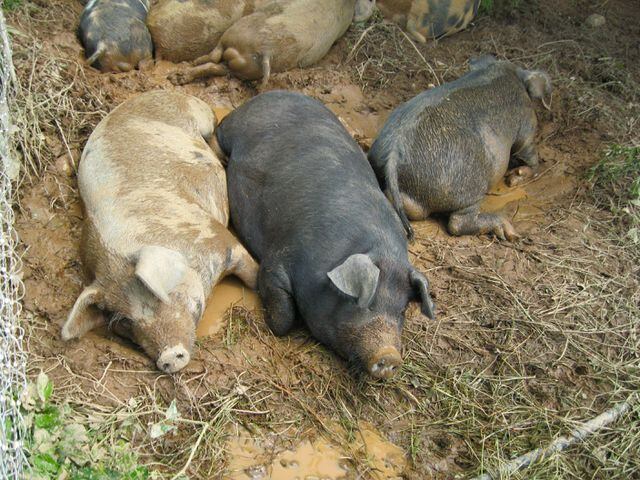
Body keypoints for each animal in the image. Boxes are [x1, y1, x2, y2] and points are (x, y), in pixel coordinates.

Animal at [61, 91, 258, 376]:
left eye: (155, 294)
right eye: (125, 321)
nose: (167, 357)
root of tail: (148, 92)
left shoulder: (219, 237)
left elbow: (253, 274)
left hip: (198, 112)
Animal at [169, 0, 376, 88]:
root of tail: (265, 51)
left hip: (238, 43)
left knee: (213, 59)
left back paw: (177, 76)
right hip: (242, 53)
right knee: (214, 60)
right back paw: (180, 75)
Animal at [218, 90, 438, 378]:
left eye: (401, 311)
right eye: (363, 301)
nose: (390, 356)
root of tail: (271, 94)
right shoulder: (277, 261)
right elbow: (283, 316)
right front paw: (273, 324)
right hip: (230, 128)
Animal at [368, 56, 552, 242]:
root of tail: (393, 154)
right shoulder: (526, 124)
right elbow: (528, 151)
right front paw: (516, 177)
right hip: (469, 186)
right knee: (457, 223)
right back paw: (510, 231)